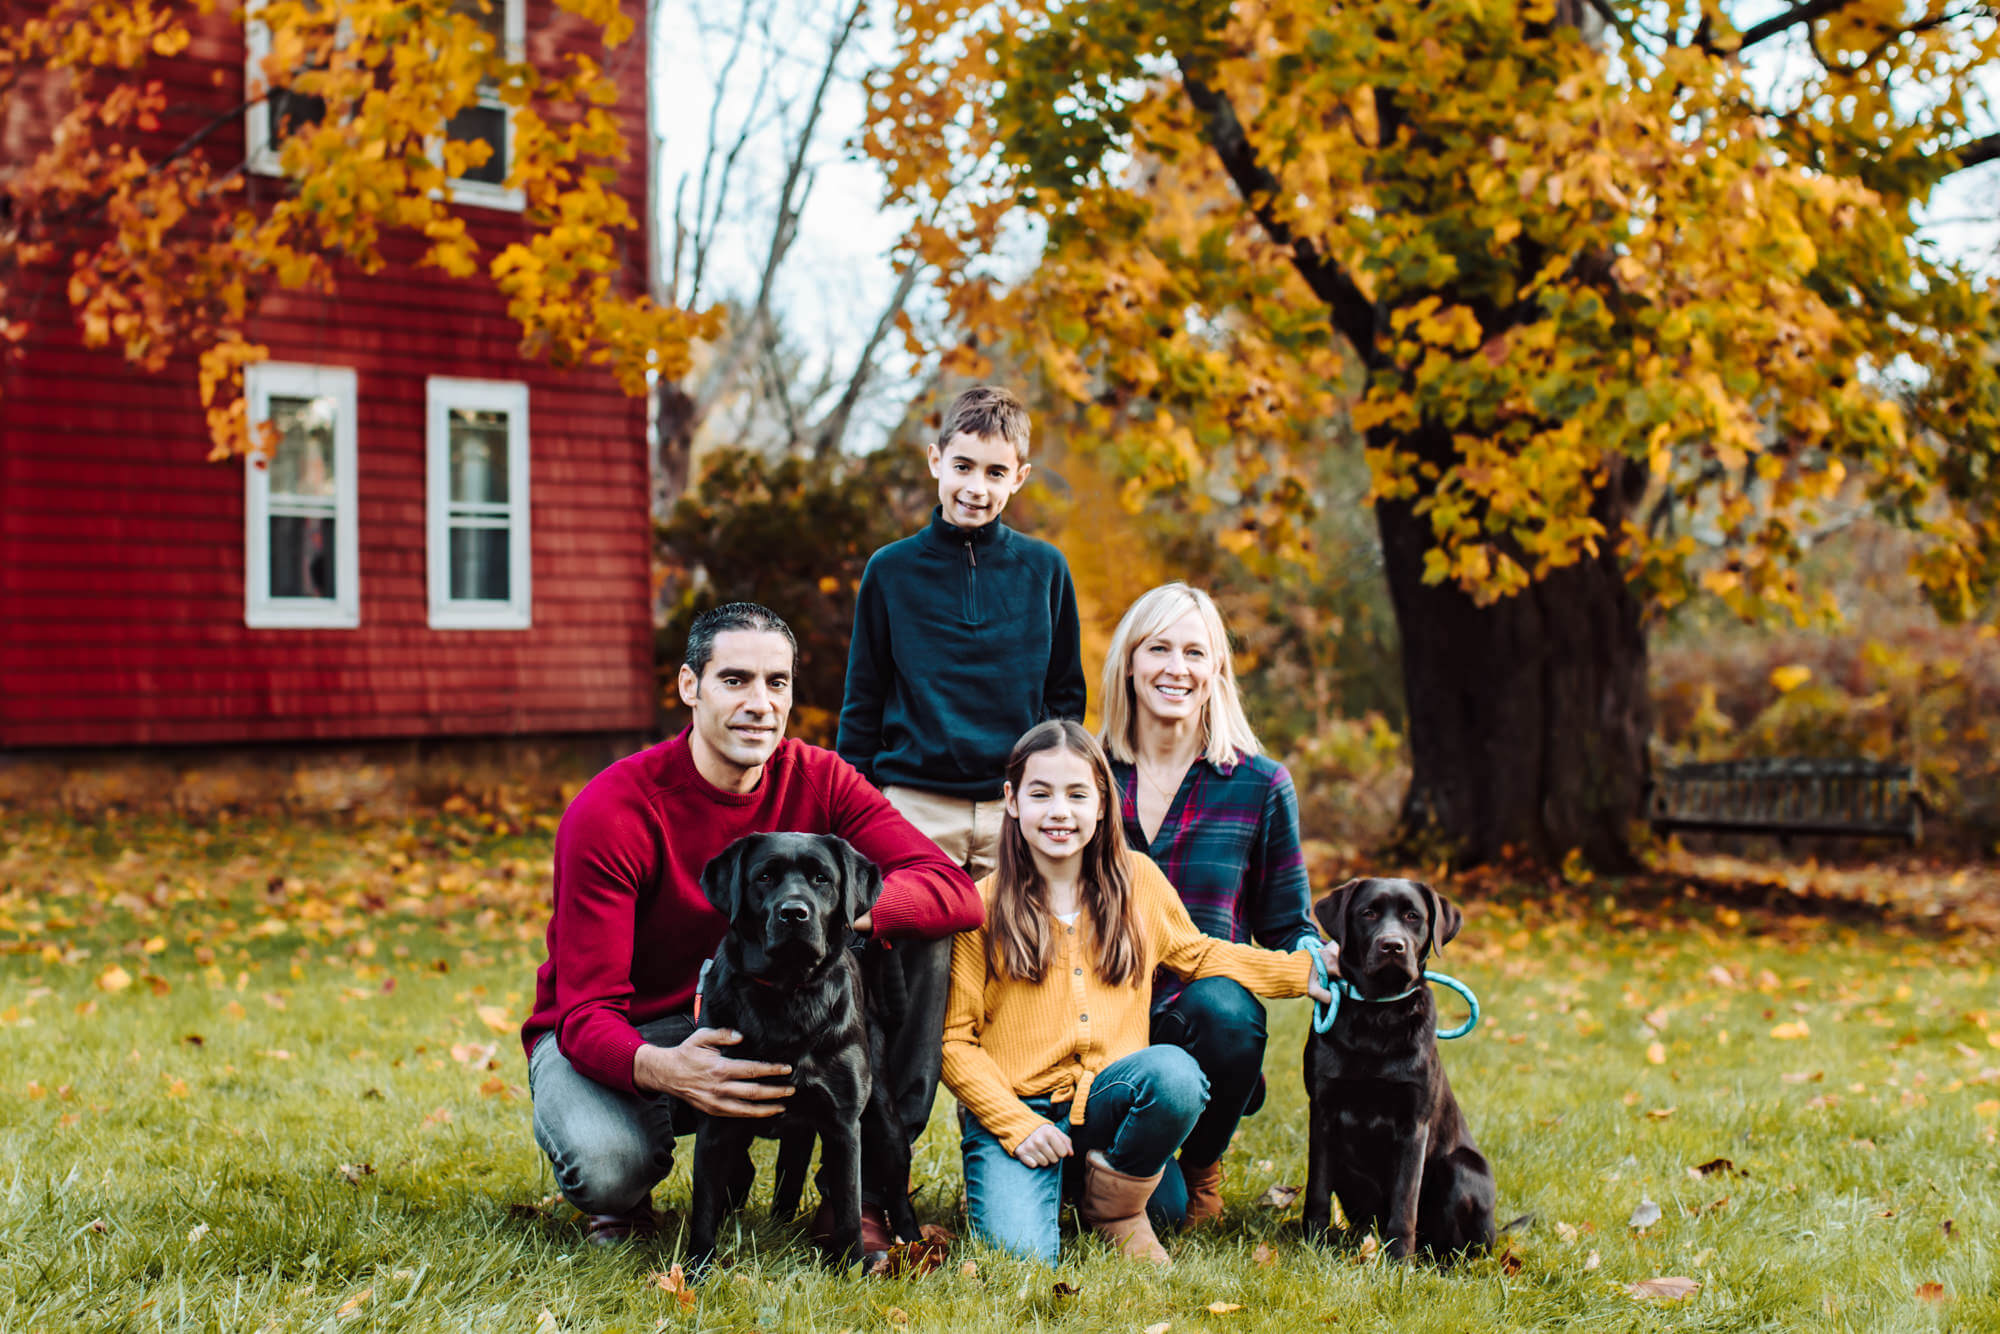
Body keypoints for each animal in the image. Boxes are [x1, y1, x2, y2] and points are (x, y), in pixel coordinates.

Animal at [1304, 876, 1496, 1264]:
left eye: (1412, 916)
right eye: (1368, 913)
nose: (1392, 945)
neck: (1377, 1016)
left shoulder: (1414, 1126)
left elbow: (1405, 1203)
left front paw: (1397, 1262)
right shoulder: (1322, 1113)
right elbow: (1316, 1190)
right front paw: (1313, 1244)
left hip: (1462, 1168)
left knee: (1460, 1249)